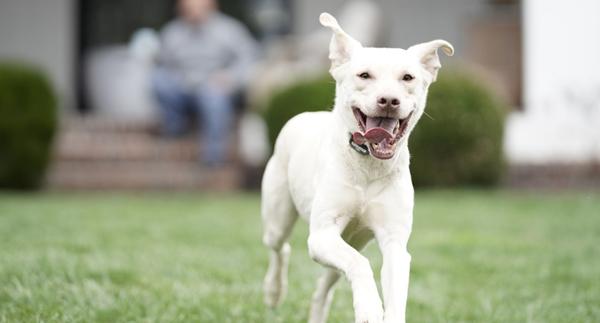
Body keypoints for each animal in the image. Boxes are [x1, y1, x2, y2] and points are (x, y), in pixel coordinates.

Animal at [260, 12, 452, 323]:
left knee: (324, 288)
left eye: (408, 77)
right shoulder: (321, 236)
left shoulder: (394, 241)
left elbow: (394, 286)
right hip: (280, 215)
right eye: (364, 75)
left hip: (353, 239)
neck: (368, 165)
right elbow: (360, 265)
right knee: (281, 248)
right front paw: (370, 308)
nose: (389, 100)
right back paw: (274, 291)